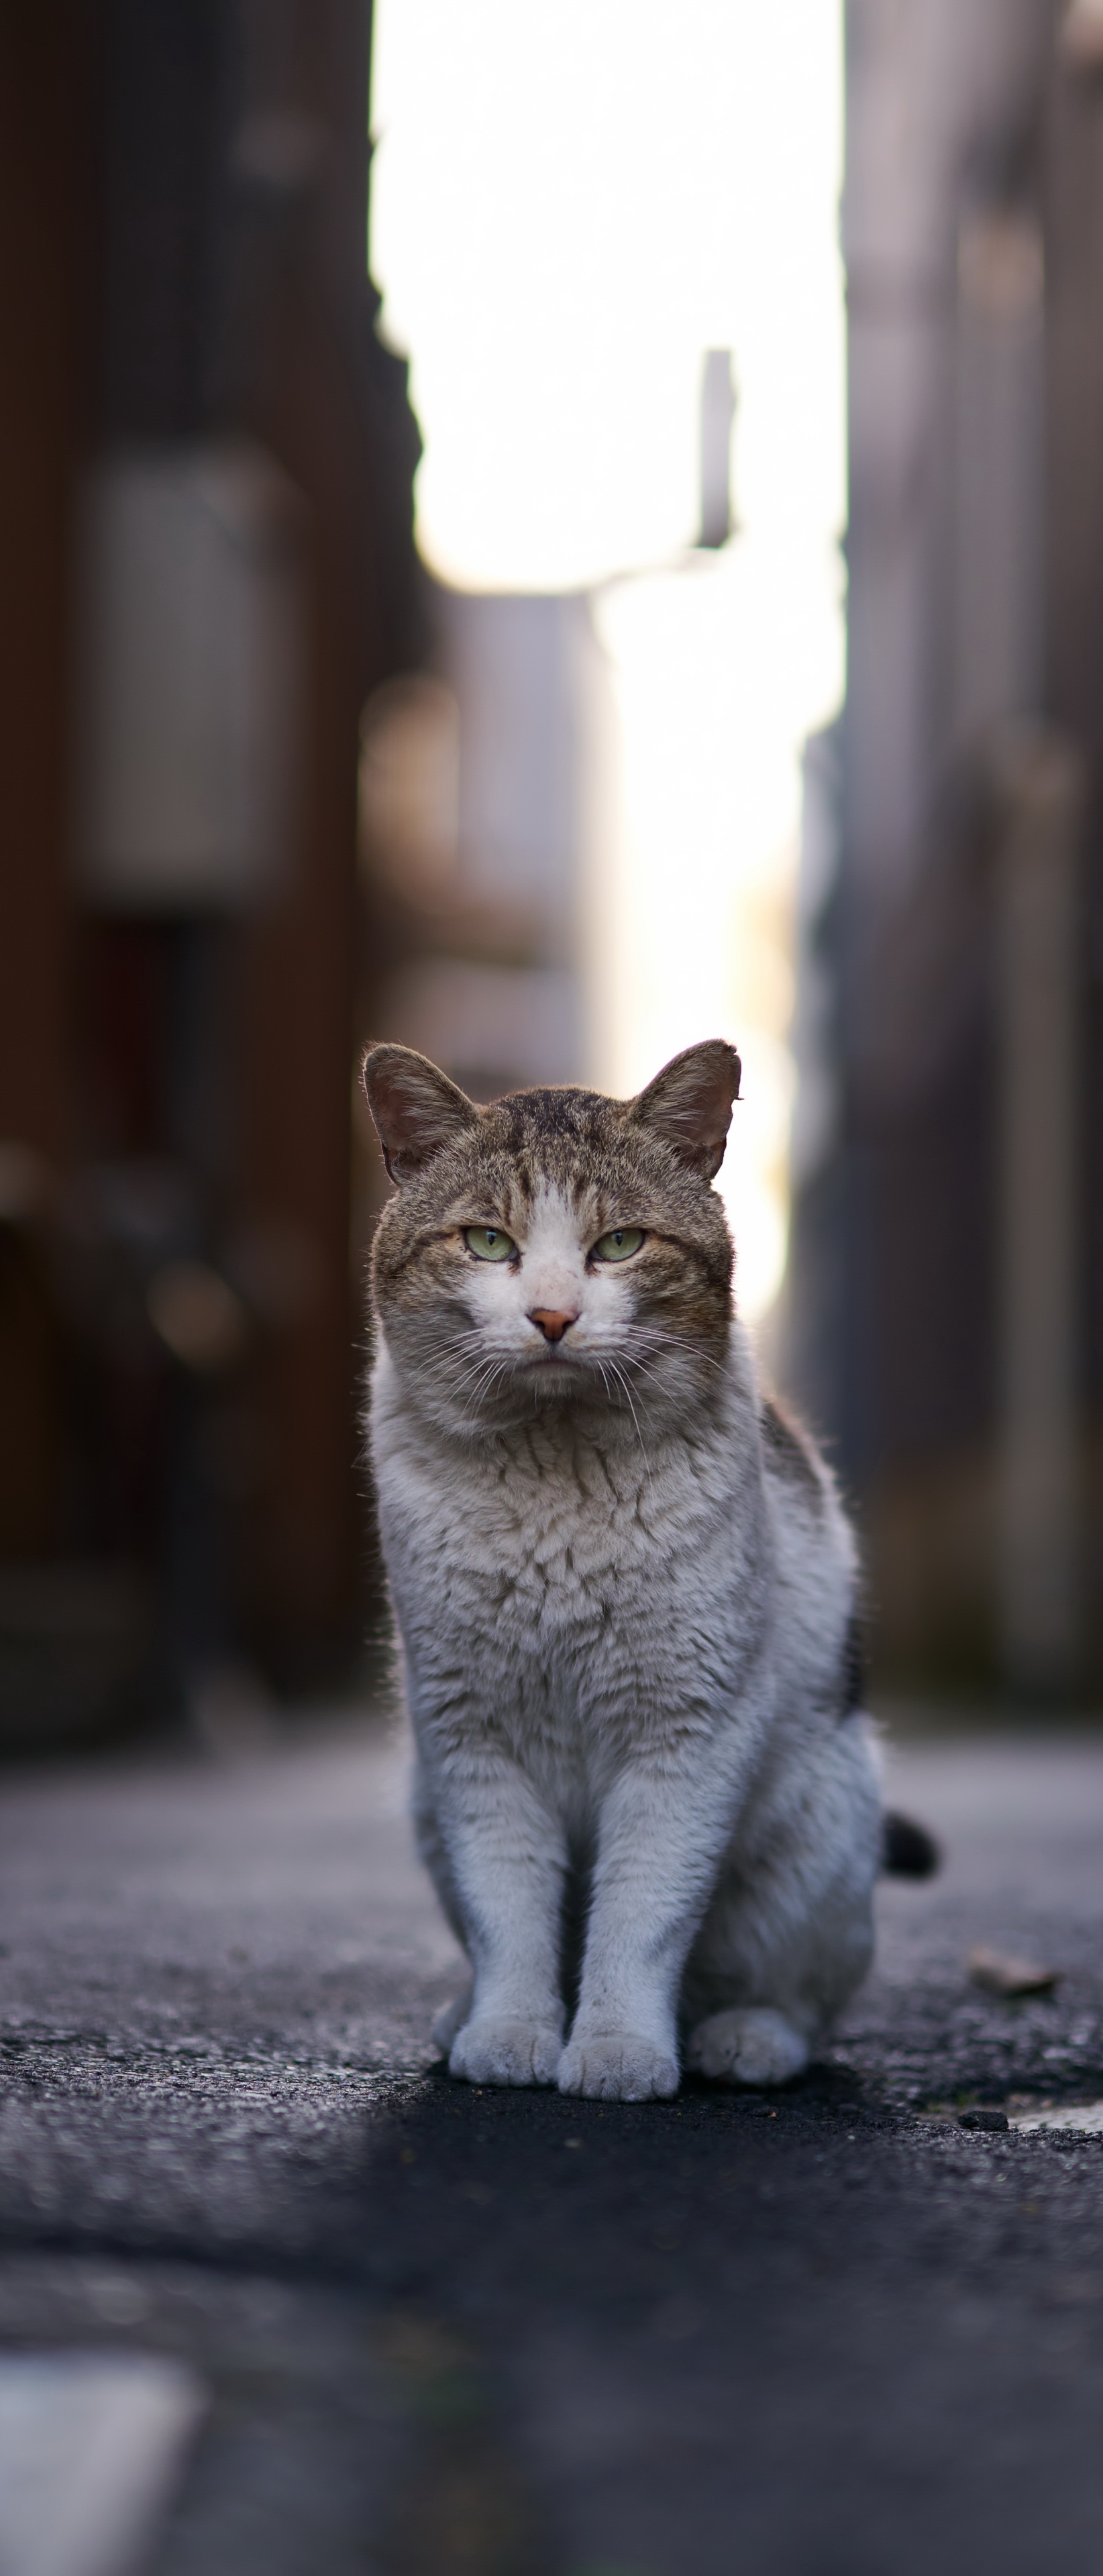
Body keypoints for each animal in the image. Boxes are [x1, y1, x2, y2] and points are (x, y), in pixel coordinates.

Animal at [363, 1030, 923, 2092]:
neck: (556, 1483)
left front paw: (618, 2051)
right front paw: (511, 2035)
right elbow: (508, 1913)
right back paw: (460, 2019)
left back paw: (745, 2039)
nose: (550, 1316)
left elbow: (640, 1911)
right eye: (487, 1243)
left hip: (820, 1834)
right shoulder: (471, 1736)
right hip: (420, 1805)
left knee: (797, 1991)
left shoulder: (688, 1732)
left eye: (619, 1245)